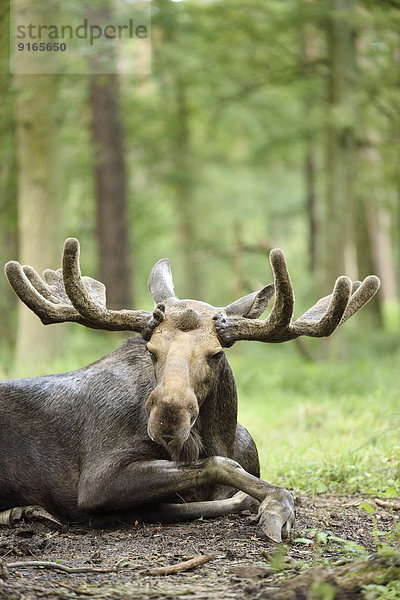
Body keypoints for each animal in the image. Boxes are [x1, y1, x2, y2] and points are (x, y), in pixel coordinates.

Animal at [0, 240, 380, 544]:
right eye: (152, 350)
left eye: (216, 353)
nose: (169, 418)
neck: (219, 437)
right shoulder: (97, 479)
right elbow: (220, 468)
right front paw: (271, 506)